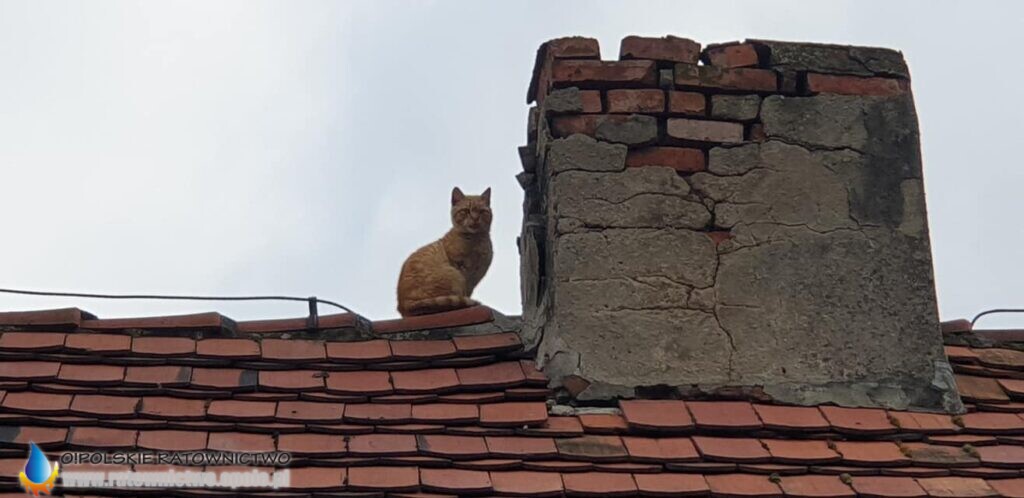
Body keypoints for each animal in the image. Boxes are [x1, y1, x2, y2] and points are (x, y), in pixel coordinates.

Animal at [396, 187, 493, 317]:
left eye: (482, 211)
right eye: (466, 211)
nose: (475, 218)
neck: (476, 240)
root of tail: (404, 305)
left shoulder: (474, 278)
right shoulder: (461, 268)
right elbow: (464, 294)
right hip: (454, 275)